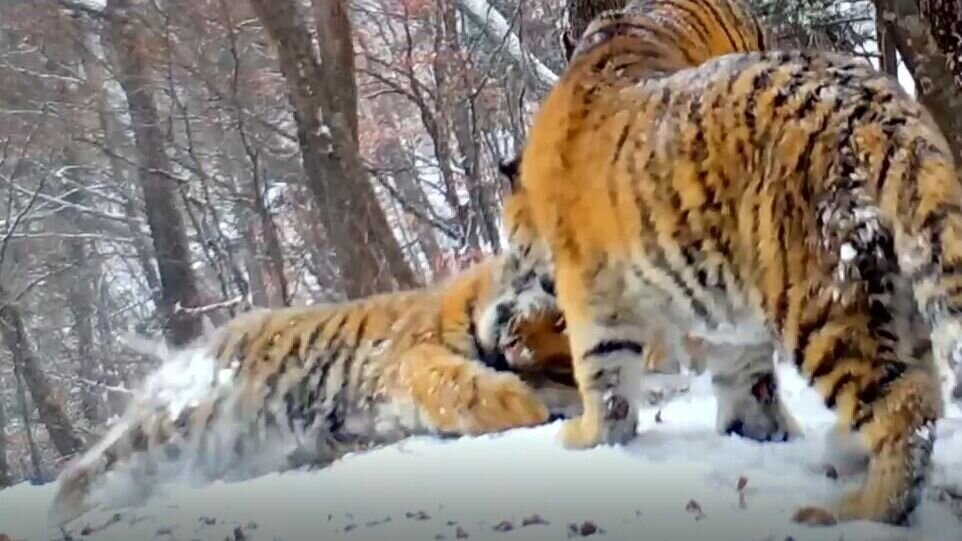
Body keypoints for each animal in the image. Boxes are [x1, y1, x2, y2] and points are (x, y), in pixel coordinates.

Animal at [50, 255, 576, 524]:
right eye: (557, 313)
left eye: (562, 351)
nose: (519, 350)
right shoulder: (399, 360)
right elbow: (455, 383)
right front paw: (518, 399)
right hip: (173, 421)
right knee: (91, 466)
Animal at [492, 0, 956, 528]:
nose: (508, 285)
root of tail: (883, 110)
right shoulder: (726, 305)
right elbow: (747, 374)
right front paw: (756, 427)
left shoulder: (593, 294)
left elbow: (602, 371)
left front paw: (587, 436)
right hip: (896, 292)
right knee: (924, 388)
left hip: (823, 304)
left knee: (904, 406)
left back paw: (862, 508)